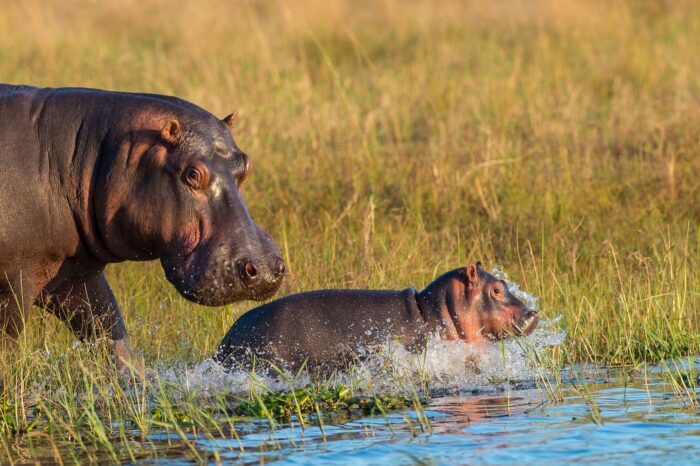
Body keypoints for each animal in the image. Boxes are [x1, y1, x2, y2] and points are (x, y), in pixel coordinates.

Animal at [0, 85, 284, 366]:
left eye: (246, 164)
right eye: (192, 174)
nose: (265, 269)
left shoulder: (75, 273)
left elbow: (110, 331)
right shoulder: (14, 282)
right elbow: (7, 347)